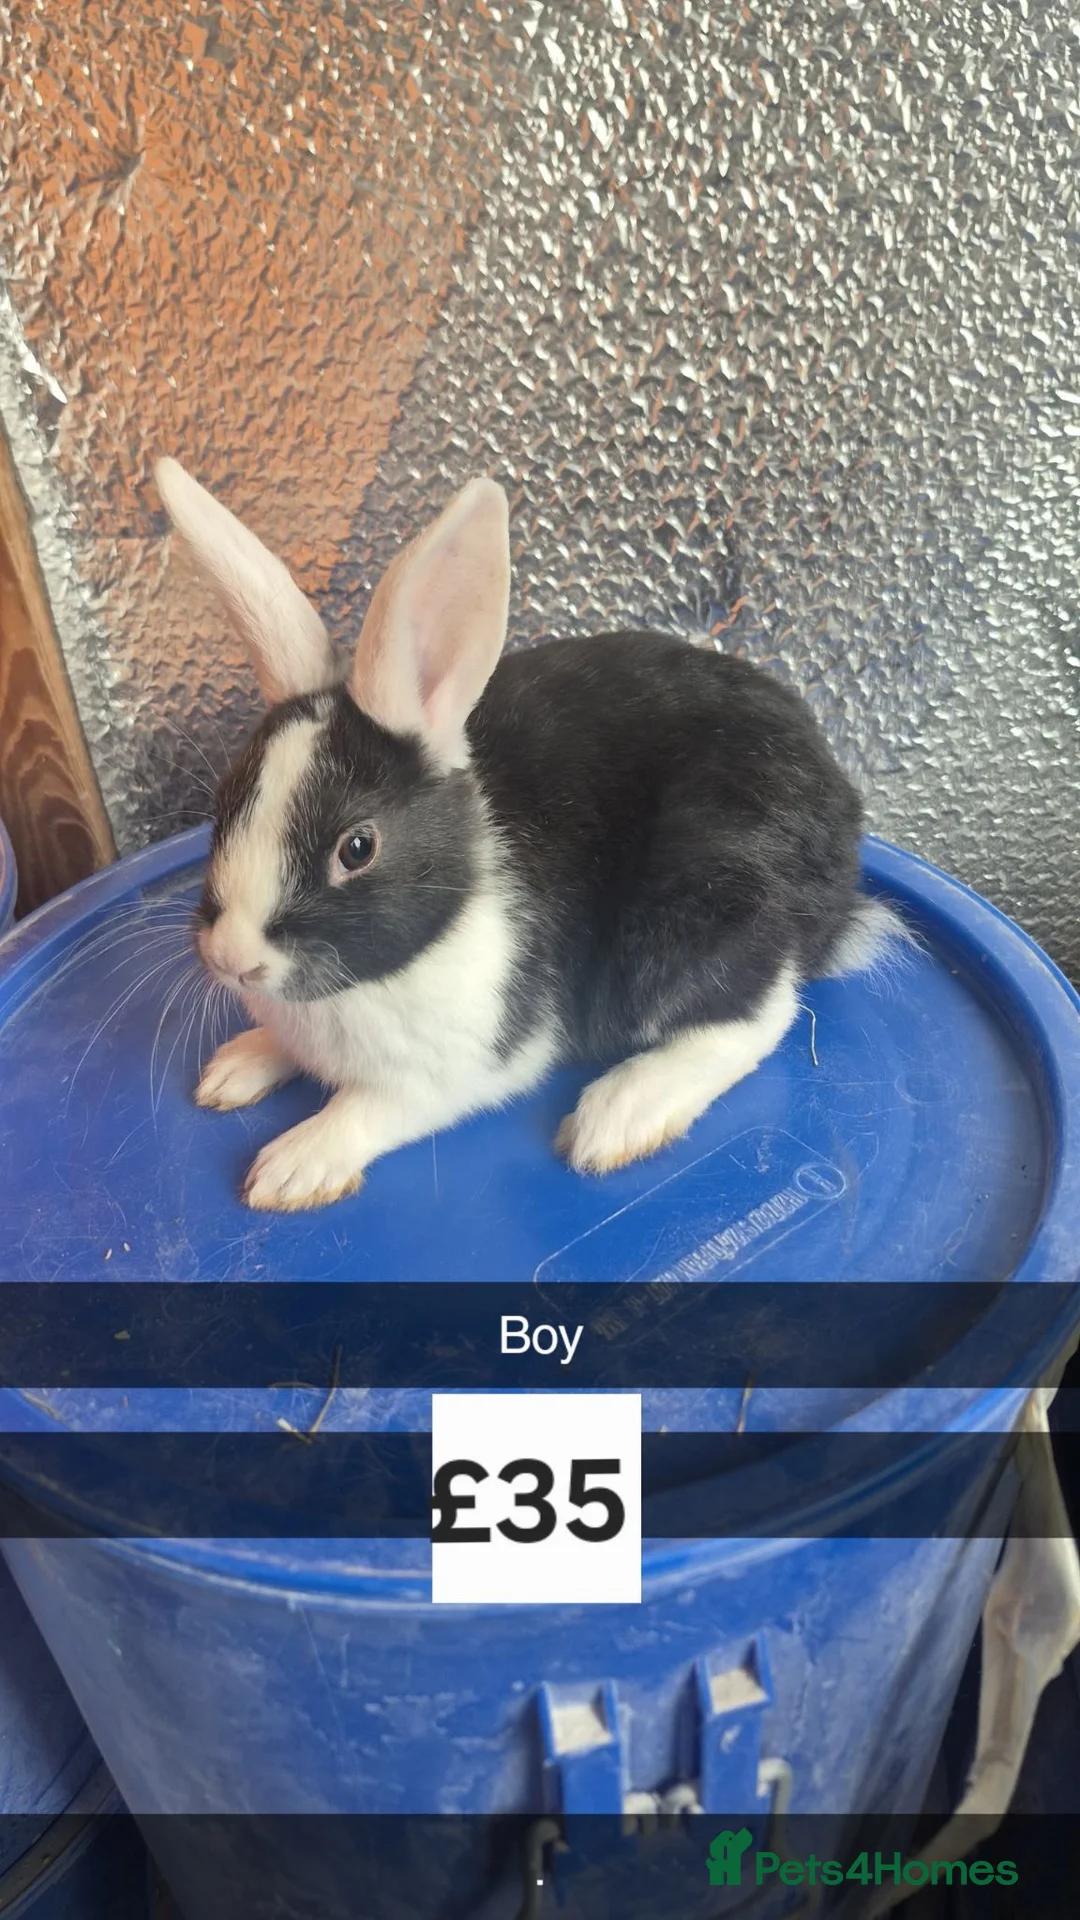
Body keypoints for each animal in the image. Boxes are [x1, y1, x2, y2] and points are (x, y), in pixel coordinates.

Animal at [155, 458, 899, 1212]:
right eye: (224, 806)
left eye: (356, 848)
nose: (232, 959)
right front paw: (235, 1067)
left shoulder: (464, 1067)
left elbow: (366, 1108)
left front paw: (292, 1168)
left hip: (701, 909)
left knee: (761, 1014)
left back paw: (618, 1115)